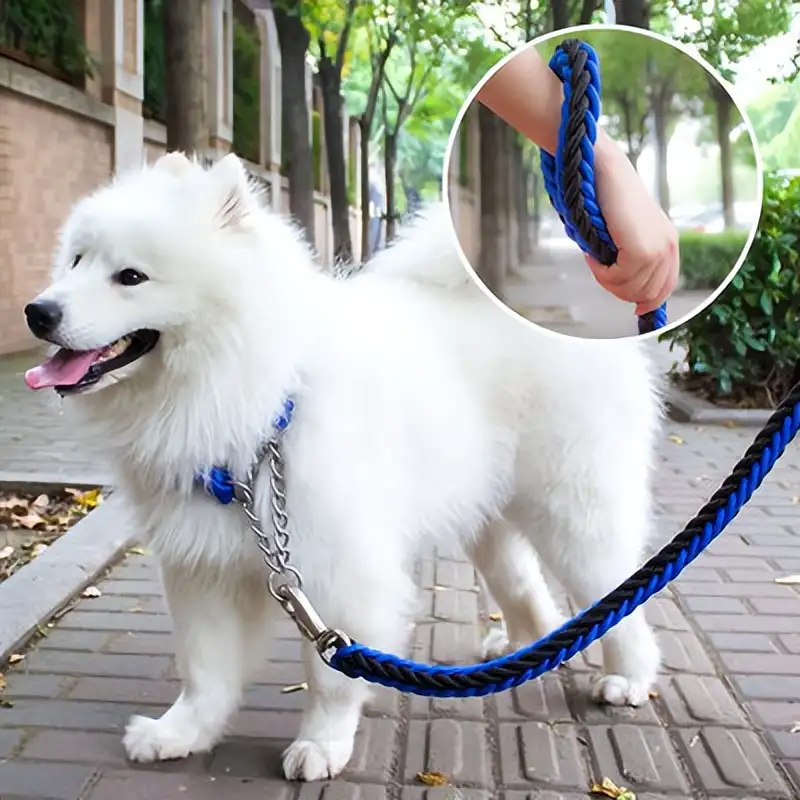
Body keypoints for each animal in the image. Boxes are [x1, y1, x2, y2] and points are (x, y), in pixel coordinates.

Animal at [23, 152, 664, 780]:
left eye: (130, 277)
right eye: (76, 260)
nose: (37, 311)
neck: (259, 399)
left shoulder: (336, 567)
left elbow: (331, 674)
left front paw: (320, 745)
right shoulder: (202, 562)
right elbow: (204, 669)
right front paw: (180, 733)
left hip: (572, 512)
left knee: (618, 592)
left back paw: (628, 678)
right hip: (487, 514)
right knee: (527, 588)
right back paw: (518, 651)